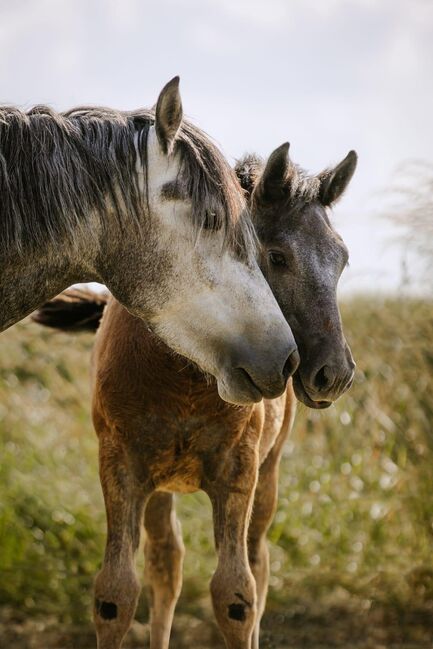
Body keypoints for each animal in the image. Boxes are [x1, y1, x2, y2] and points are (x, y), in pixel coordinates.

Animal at [33, 144, 356, 644]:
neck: (184, 376)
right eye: (276, 257)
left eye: (341, 260)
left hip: (268, 473)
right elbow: (115, 594)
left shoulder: (238, 470)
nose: (334, 373)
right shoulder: (122, 466)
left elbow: (235, 595)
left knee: (258, 565)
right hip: (160, 486)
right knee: (167, 562)